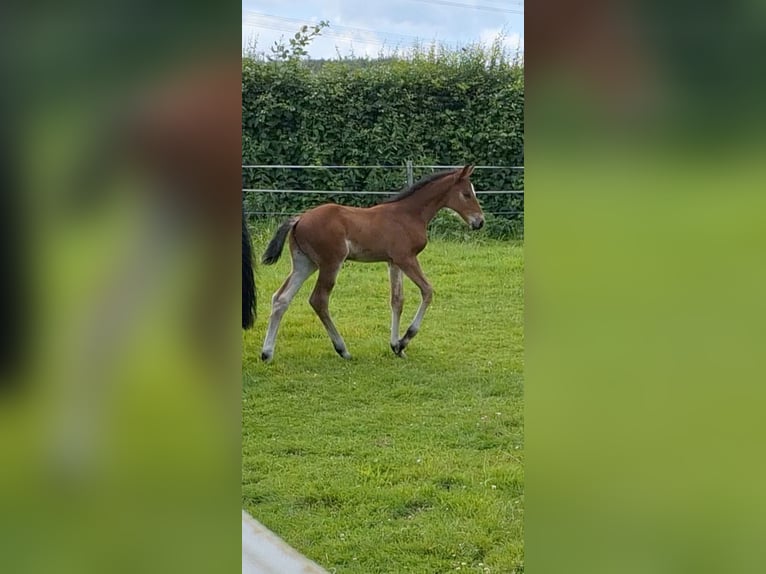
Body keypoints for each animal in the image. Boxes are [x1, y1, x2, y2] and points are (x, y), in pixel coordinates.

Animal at [260, 164, 484, 362]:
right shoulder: (406, 258)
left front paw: (396, 347)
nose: (480, 222)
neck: (409, 214)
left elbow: (397, 300)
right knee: (319, 299)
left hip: (304, 264)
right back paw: (343, 350)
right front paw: (404, 340)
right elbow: (427, 291)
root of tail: (298, 219)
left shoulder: (394, 262)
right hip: (331, 263)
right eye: (466, 194)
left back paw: (267, 353)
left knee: (281, 298)